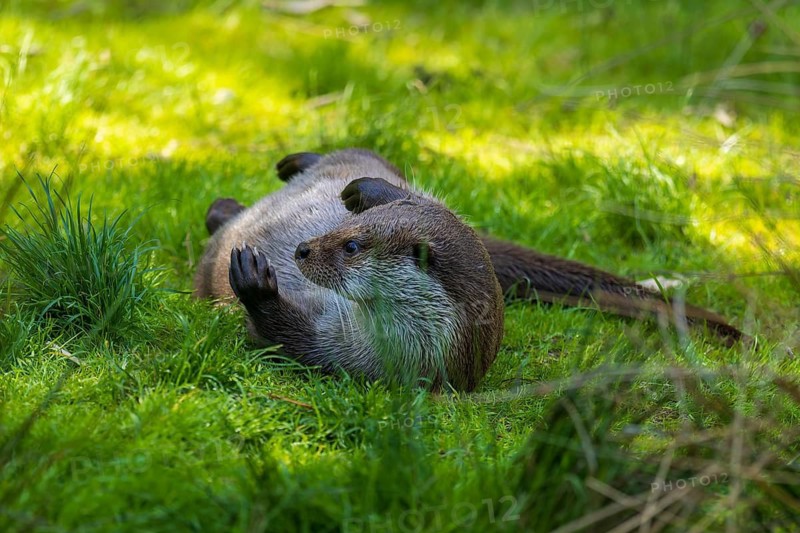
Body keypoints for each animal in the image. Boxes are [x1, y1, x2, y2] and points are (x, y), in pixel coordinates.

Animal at [195, 149, 745, 391]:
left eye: (351, 245)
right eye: (355, 227)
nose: (303, 251)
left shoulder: (358, 359)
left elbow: (291, 340)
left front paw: (256, 282)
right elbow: (433, 209)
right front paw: (360, 192)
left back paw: (225, 215)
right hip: (356, 157)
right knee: (356, 153)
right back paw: (293, 166)